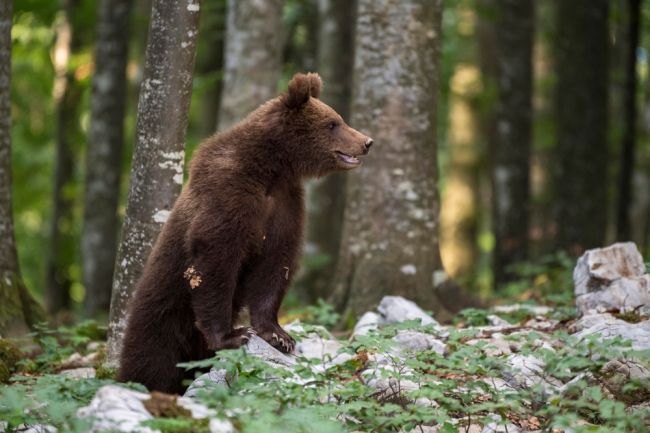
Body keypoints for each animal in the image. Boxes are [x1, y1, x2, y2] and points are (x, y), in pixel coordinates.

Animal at [115, 72, 370, 394]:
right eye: (333, 123)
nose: (366, 142)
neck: (272, 167)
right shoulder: (228, 194)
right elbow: (215, 262)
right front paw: (233, 335)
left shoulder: (284, 205)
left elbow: (276, 264)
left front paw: (278, 335)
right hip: (163, 309)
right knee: (151, 357)